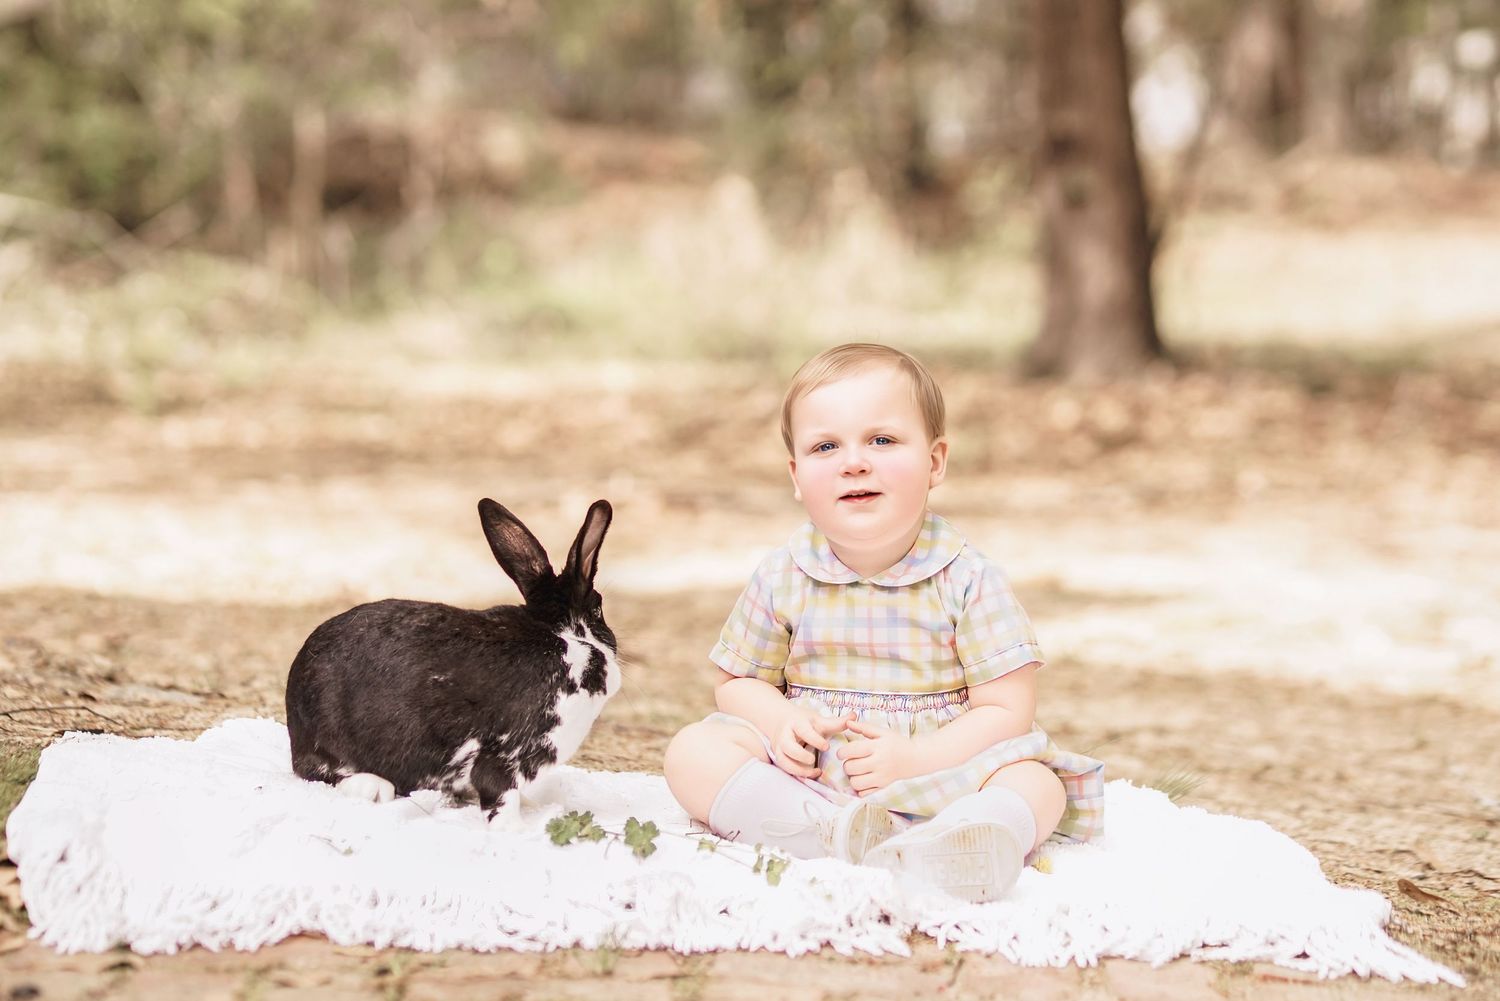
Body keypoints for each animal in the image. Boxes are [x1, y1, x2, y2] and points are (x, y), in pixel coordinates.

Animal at [285, 497, 618, 826]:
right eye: (598, 610)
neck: (563, 636)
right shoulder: (510, 751)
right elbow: (500, 797)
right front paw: (517, 831)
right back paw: (373, 786)